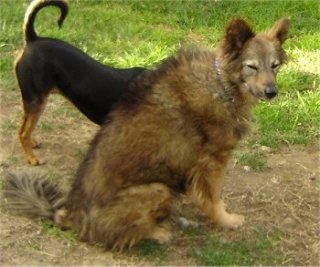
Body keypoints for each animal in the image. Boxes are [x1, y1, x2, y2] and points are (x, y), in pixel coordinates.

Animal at [4, 17, 290, 251]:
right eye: (252, 66)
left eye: (275, 66)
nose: (271, 92)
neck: (222, 85)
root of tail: (69, 215)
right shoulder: (214, 161)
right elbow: (214, 199)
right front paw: (226, 220)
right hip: (158, 188)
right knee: (122, 233)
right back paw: (158, 232)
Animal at [15, 0, 145, 165]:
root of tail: (33, 38)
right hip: (36, 100)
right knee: (23, 132)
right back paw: (32, 158)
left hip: (36, 102)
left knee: (24, 126)